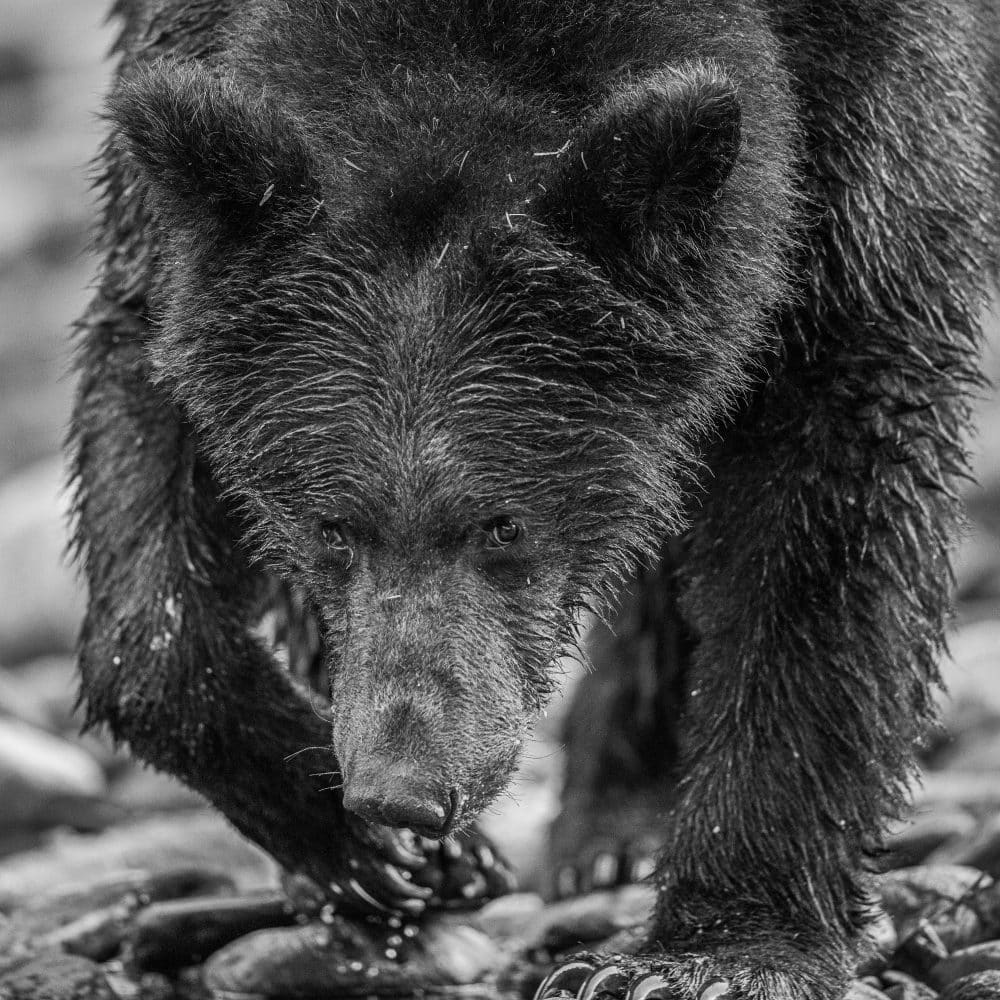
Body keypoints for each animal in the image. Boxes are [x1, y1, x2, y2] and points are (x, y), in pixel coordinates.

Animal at [69, 0, 1000, 997]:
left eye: (502, 523)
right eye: (333, 527)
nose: (403, 790)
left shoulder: (872, 122)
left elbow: (833, 478)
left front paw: (722, 948)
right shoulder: (181, 75)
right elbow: (145, 372)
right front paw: (372, 853)